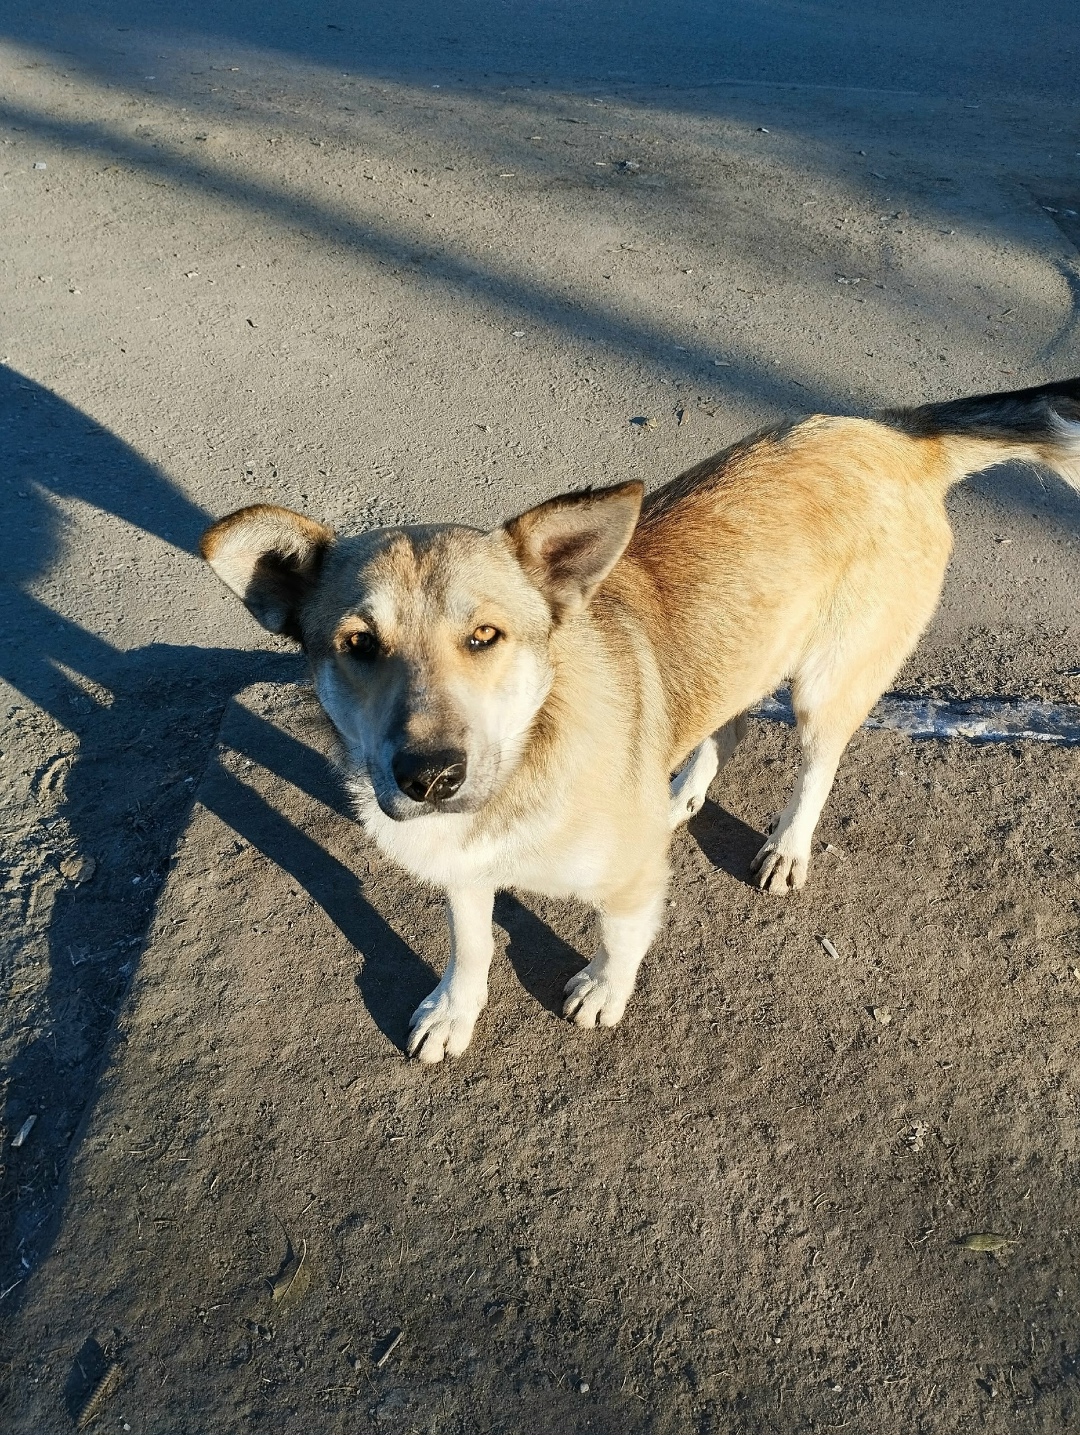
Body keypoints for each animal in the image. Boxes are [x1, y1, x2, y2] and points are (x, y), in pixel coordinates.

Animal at [201, 377, 1080, 1061]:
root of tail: (898, 435)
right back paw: (682, 786)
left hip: (827, 684)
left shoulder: (629, 881)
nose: (430, 776)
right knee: (727, 722)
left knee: (818, 763)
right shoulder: (464, 867)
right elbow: (472, 940)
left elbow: (621, 936)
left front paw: (602, 988)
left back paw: (787, 845)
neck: (528, 758)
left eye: (484, 636)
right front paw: (455, 1008)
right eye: (358, 643)